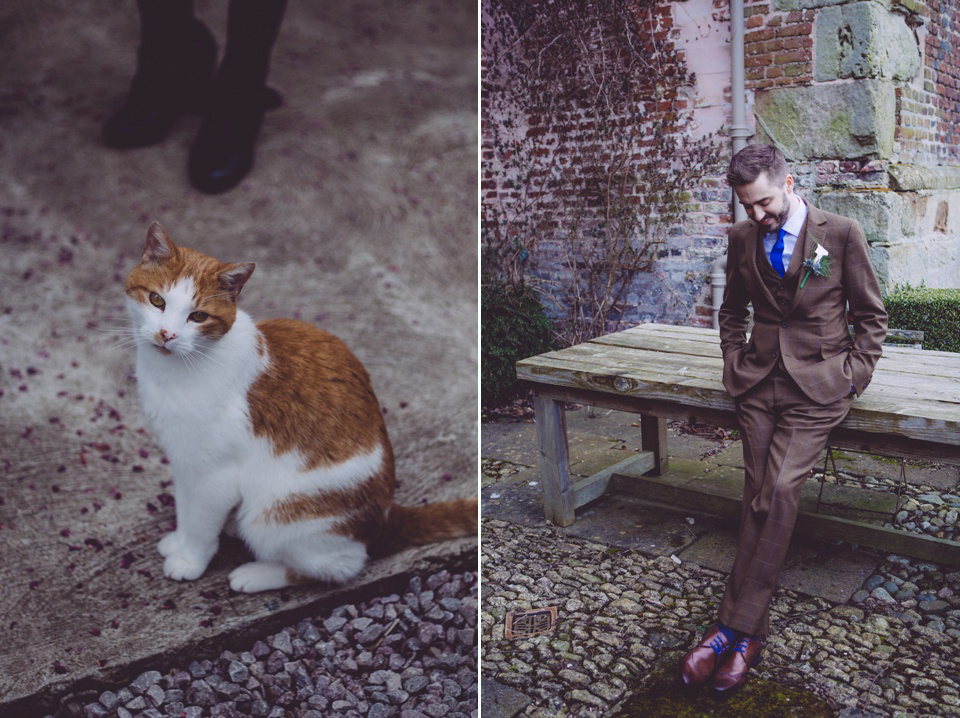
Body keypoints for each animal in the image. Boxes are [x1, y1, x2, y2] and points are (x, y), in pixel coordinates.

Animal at [124, 225, 476, 596]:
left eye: (198, 316)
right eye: (157, 300)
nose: (167, 334)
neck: (173, 371)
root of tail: (386, 516)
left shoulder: (213, 475)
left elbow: (200, 524)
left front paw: (190, 559)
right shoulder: (184, 459)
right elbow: (184, 507)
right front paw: (178, 541)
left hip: (274, 515)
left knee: (337, 567)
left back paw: (256, 573)